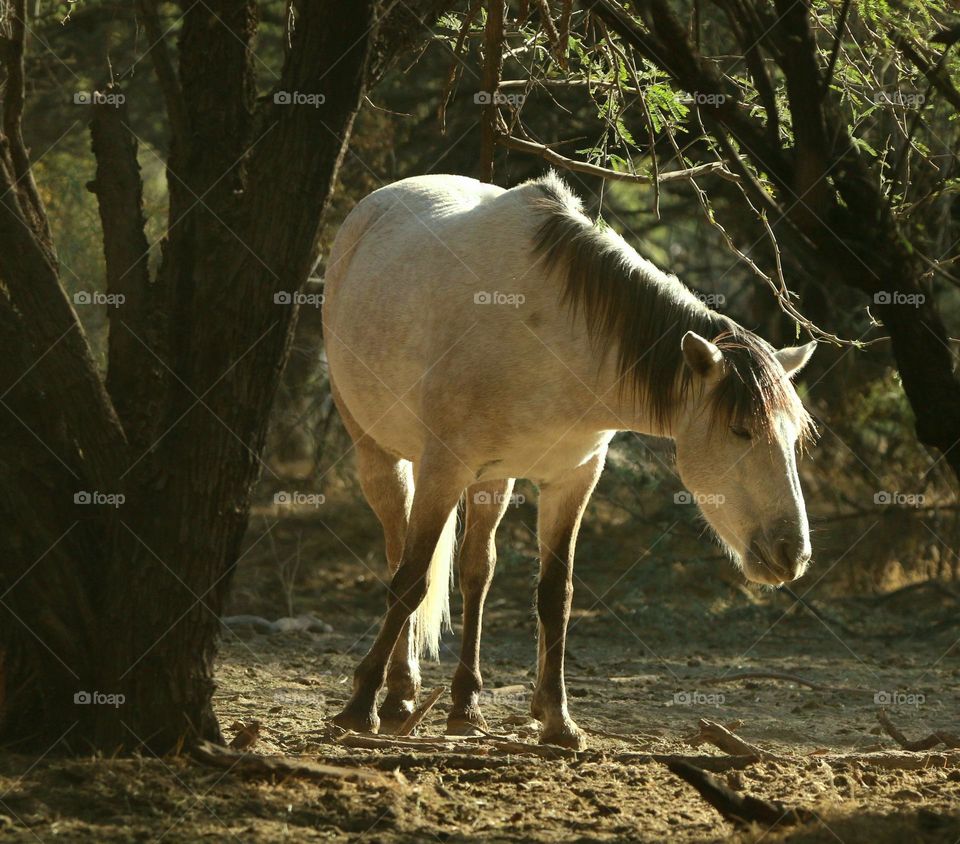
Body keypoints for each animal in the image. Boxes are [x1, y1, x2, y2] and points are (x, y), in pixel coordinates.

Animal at [321, 171, 817, 749]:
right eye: (740, 430)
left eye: (794, 436)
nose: (791, 552)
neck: (560, 338)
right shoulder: (443, 469)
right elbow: (411, 583)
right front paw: (358, 706)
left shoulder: (572, 479)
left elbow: (555, 595)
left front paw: (557, 718)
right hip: (382, 455)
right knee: (401, 557)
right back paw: (399, 693)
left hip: (495, 480)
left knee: (476, 571)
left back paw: (465, 706)